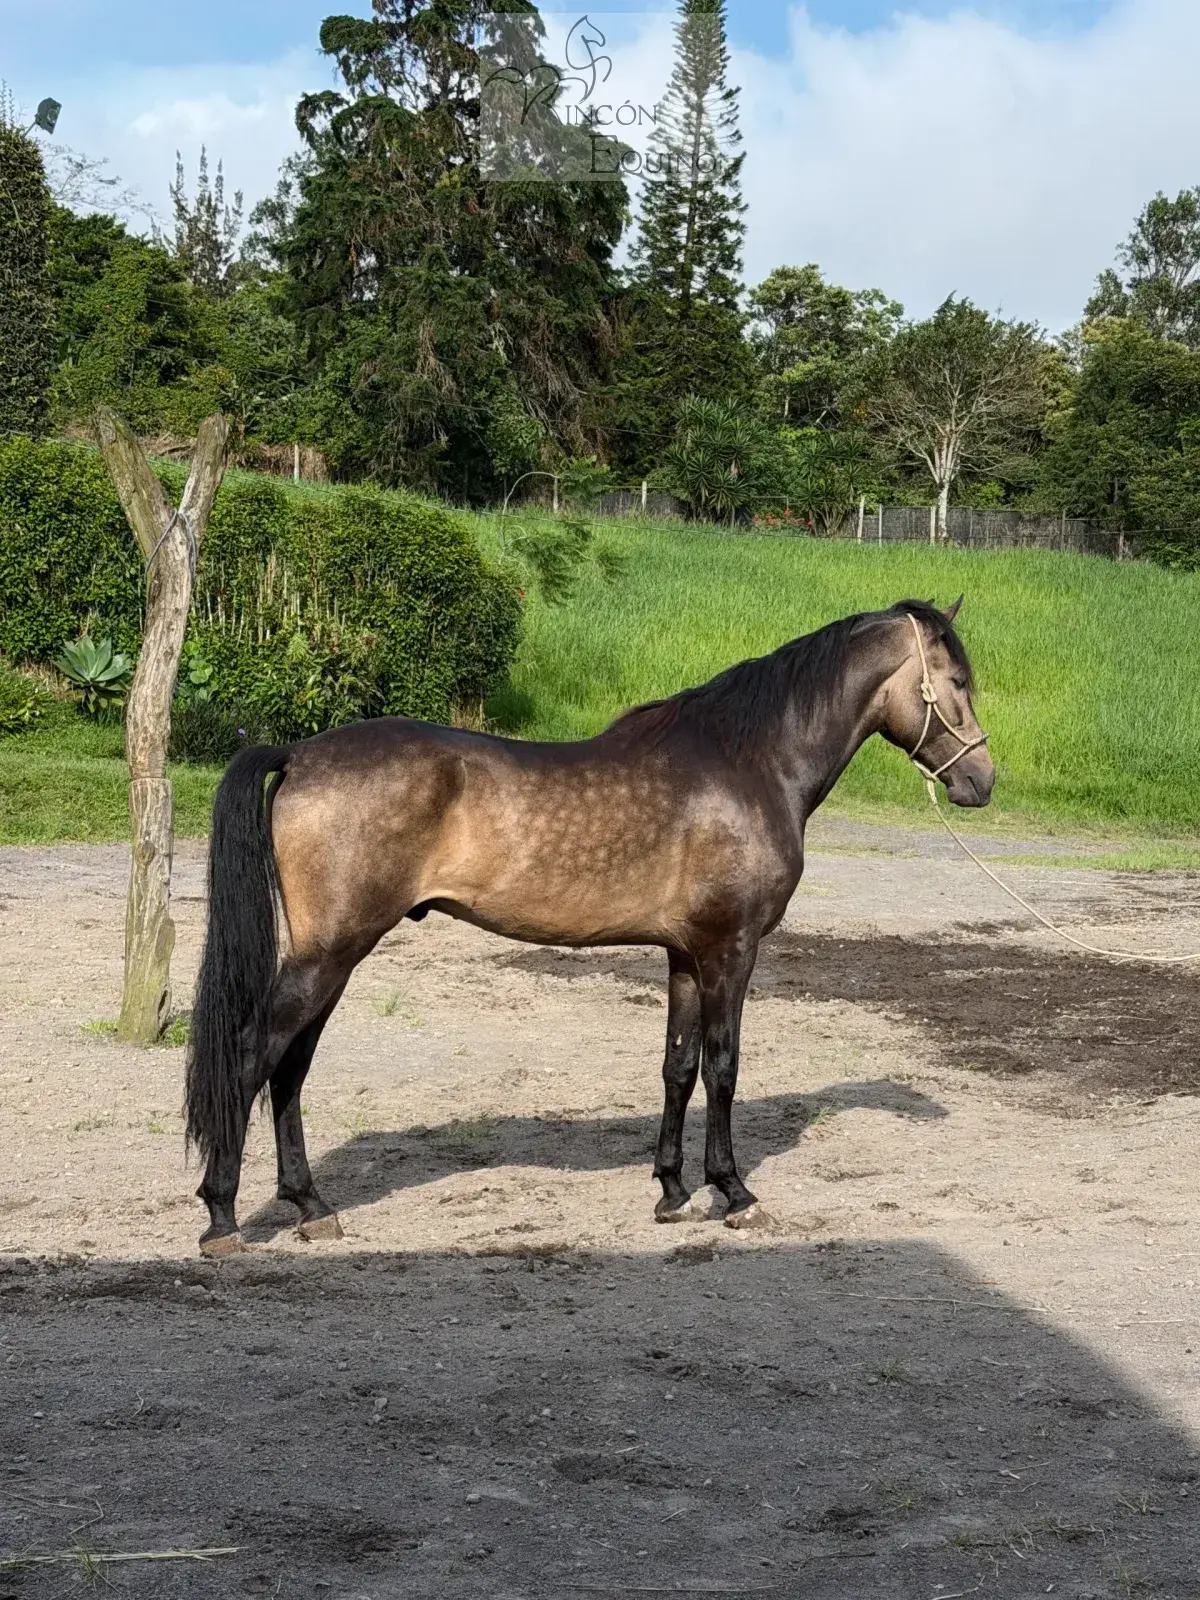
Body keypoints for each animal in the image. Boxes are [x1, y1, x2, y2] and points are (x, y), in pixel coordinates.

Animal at [185, 597, 994, 1257]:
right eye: (957, 681)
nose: (980, 782)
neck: (752, 762)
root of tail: (299, 753)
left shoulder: (684, 955)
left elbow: (678, 1067)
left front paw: (672, 1192)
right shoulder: (730, 950)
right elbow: (724, 1068)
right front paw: (733, 1193)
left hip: (334, 958)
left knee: (290, 1070)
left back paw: (311, 1207)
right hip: (328, 954)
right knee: (255, 1056)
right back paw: (222, 1217)